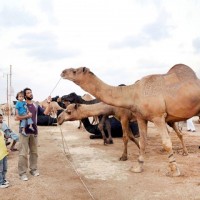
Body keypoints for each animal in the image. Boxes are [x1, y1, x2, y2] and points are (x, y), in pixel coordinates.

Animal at [60, 64, 200, 177]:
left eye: (74, 71)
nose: (62, 72)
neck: (132, 93)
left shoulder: (153, 116)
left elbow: (130, 137)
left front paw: (174, 170)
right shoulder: (141, 117)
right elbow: (142, 141)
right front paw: (138, 167)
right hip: (172, 118)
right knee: (179, 132)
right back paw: (185, 152)